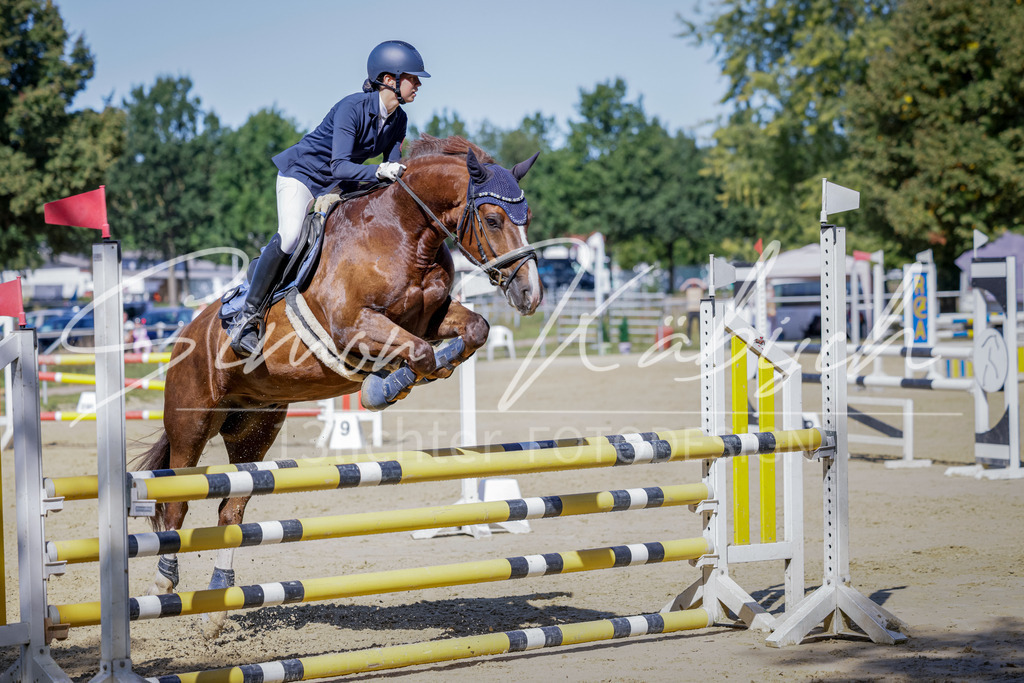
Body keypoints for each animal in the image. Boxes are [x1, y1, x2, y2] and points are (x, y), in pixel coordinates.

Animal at [135, 135, 542, 636]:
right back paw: (164, 582)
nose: (530, 295)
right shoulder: (355, 326)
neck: (405, 235)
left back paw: (219, 599)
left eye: (528, 218)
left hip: (254, 429)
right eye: (493, 219)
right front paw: (382, 388)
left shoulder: (429, 318)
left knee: (232, 508)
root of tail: (187, 332)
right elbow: (418, 353)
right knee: (176, 504)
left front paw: (409, 377)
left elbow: (473, 331)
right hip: (190, 424)